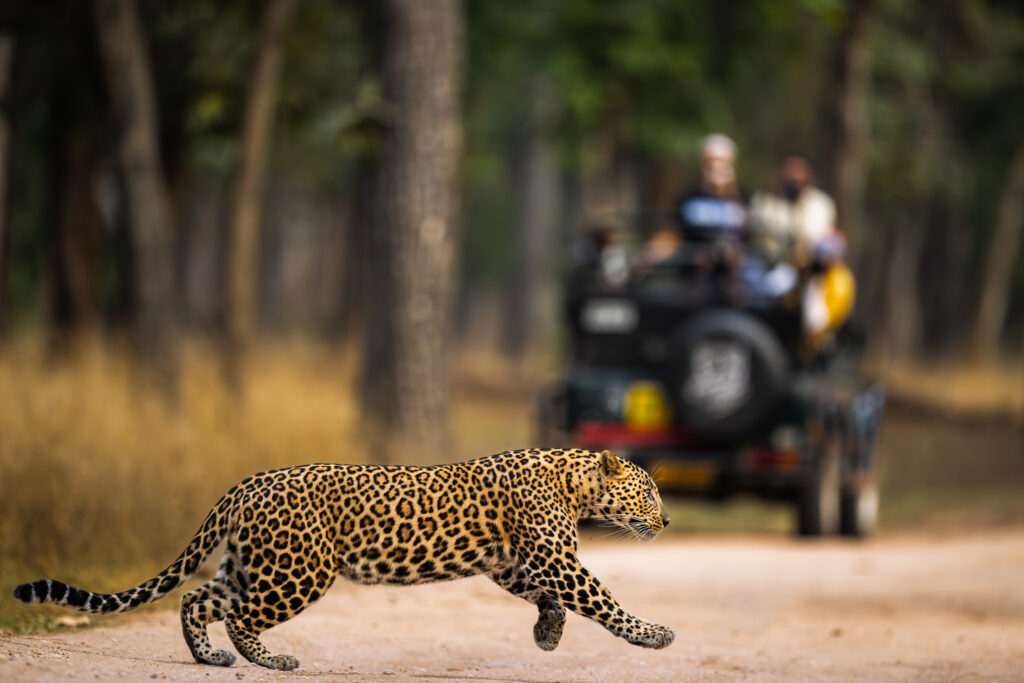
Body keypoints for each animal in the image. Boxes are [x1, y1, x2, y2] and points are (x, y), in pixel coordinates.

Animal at [16, 448, 675, 671]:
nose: (669, 520)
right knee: (239, 615)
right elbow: (601, 599)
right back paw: (271, 660)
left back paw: (210, 659)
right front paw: (653, 634)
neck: (575, 481)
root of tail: (244, 484)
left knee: (197, 599)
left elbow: (549, 597)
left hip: (252, 564)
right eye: (649, 492)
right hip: (299, 571)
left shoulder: (514, 561)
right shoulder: (555, 559)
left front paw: (547, 633)